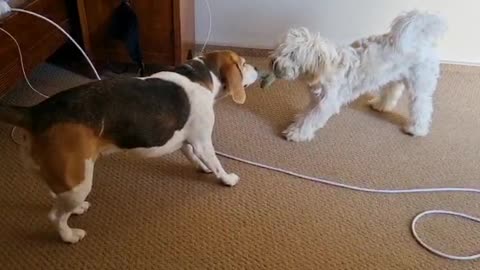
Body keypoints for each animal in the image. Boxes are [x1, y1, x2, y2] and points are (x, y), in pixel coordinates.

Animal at [272, 10, 448, 141]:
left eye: (293, 55)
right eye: (280, 49)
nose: (274, 62)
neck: (328, 67)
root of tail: (421, 38)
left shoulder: (326, 103)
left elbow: (310, 119)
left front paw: (296, 133)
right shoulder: (317, 100)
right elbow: (305, 114)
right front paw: (297, 124)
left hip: (420, 86)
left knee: (422, 107)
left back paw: (417, 129)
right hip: (393, 77)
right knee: (391, 92)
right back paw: (380, 105)